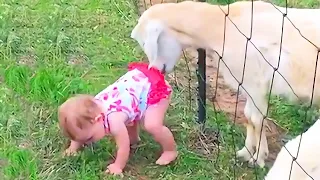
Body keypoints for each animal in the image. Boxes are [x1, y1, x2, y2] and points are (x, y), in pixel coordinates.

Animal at [129, 0, 320, 168]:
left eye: (147, 42)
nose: (155, 70)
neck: (223, 27)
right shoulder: (247, 85)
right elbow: (248, 116)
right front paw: (245, 152)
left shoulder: (255, 84)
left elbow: (257, 119)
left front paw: (258, 158)